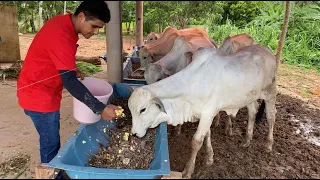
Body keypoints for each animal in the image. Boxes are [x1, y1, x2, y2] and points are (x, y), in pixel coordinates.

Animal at [127, 44, 278, 178]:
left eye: (142, 109)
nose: (134, 133)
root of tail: (268, 52)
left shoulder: (208, 114)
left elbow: (196, 142)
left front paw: (188, 171)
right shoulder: (205, 115)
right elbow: (207, 135)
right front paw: (210, 158)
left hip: (270, 92)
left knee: (271, 116)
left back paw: (269, 145)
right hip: (249, 97)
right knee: (253, 111)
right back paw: (247, 140)